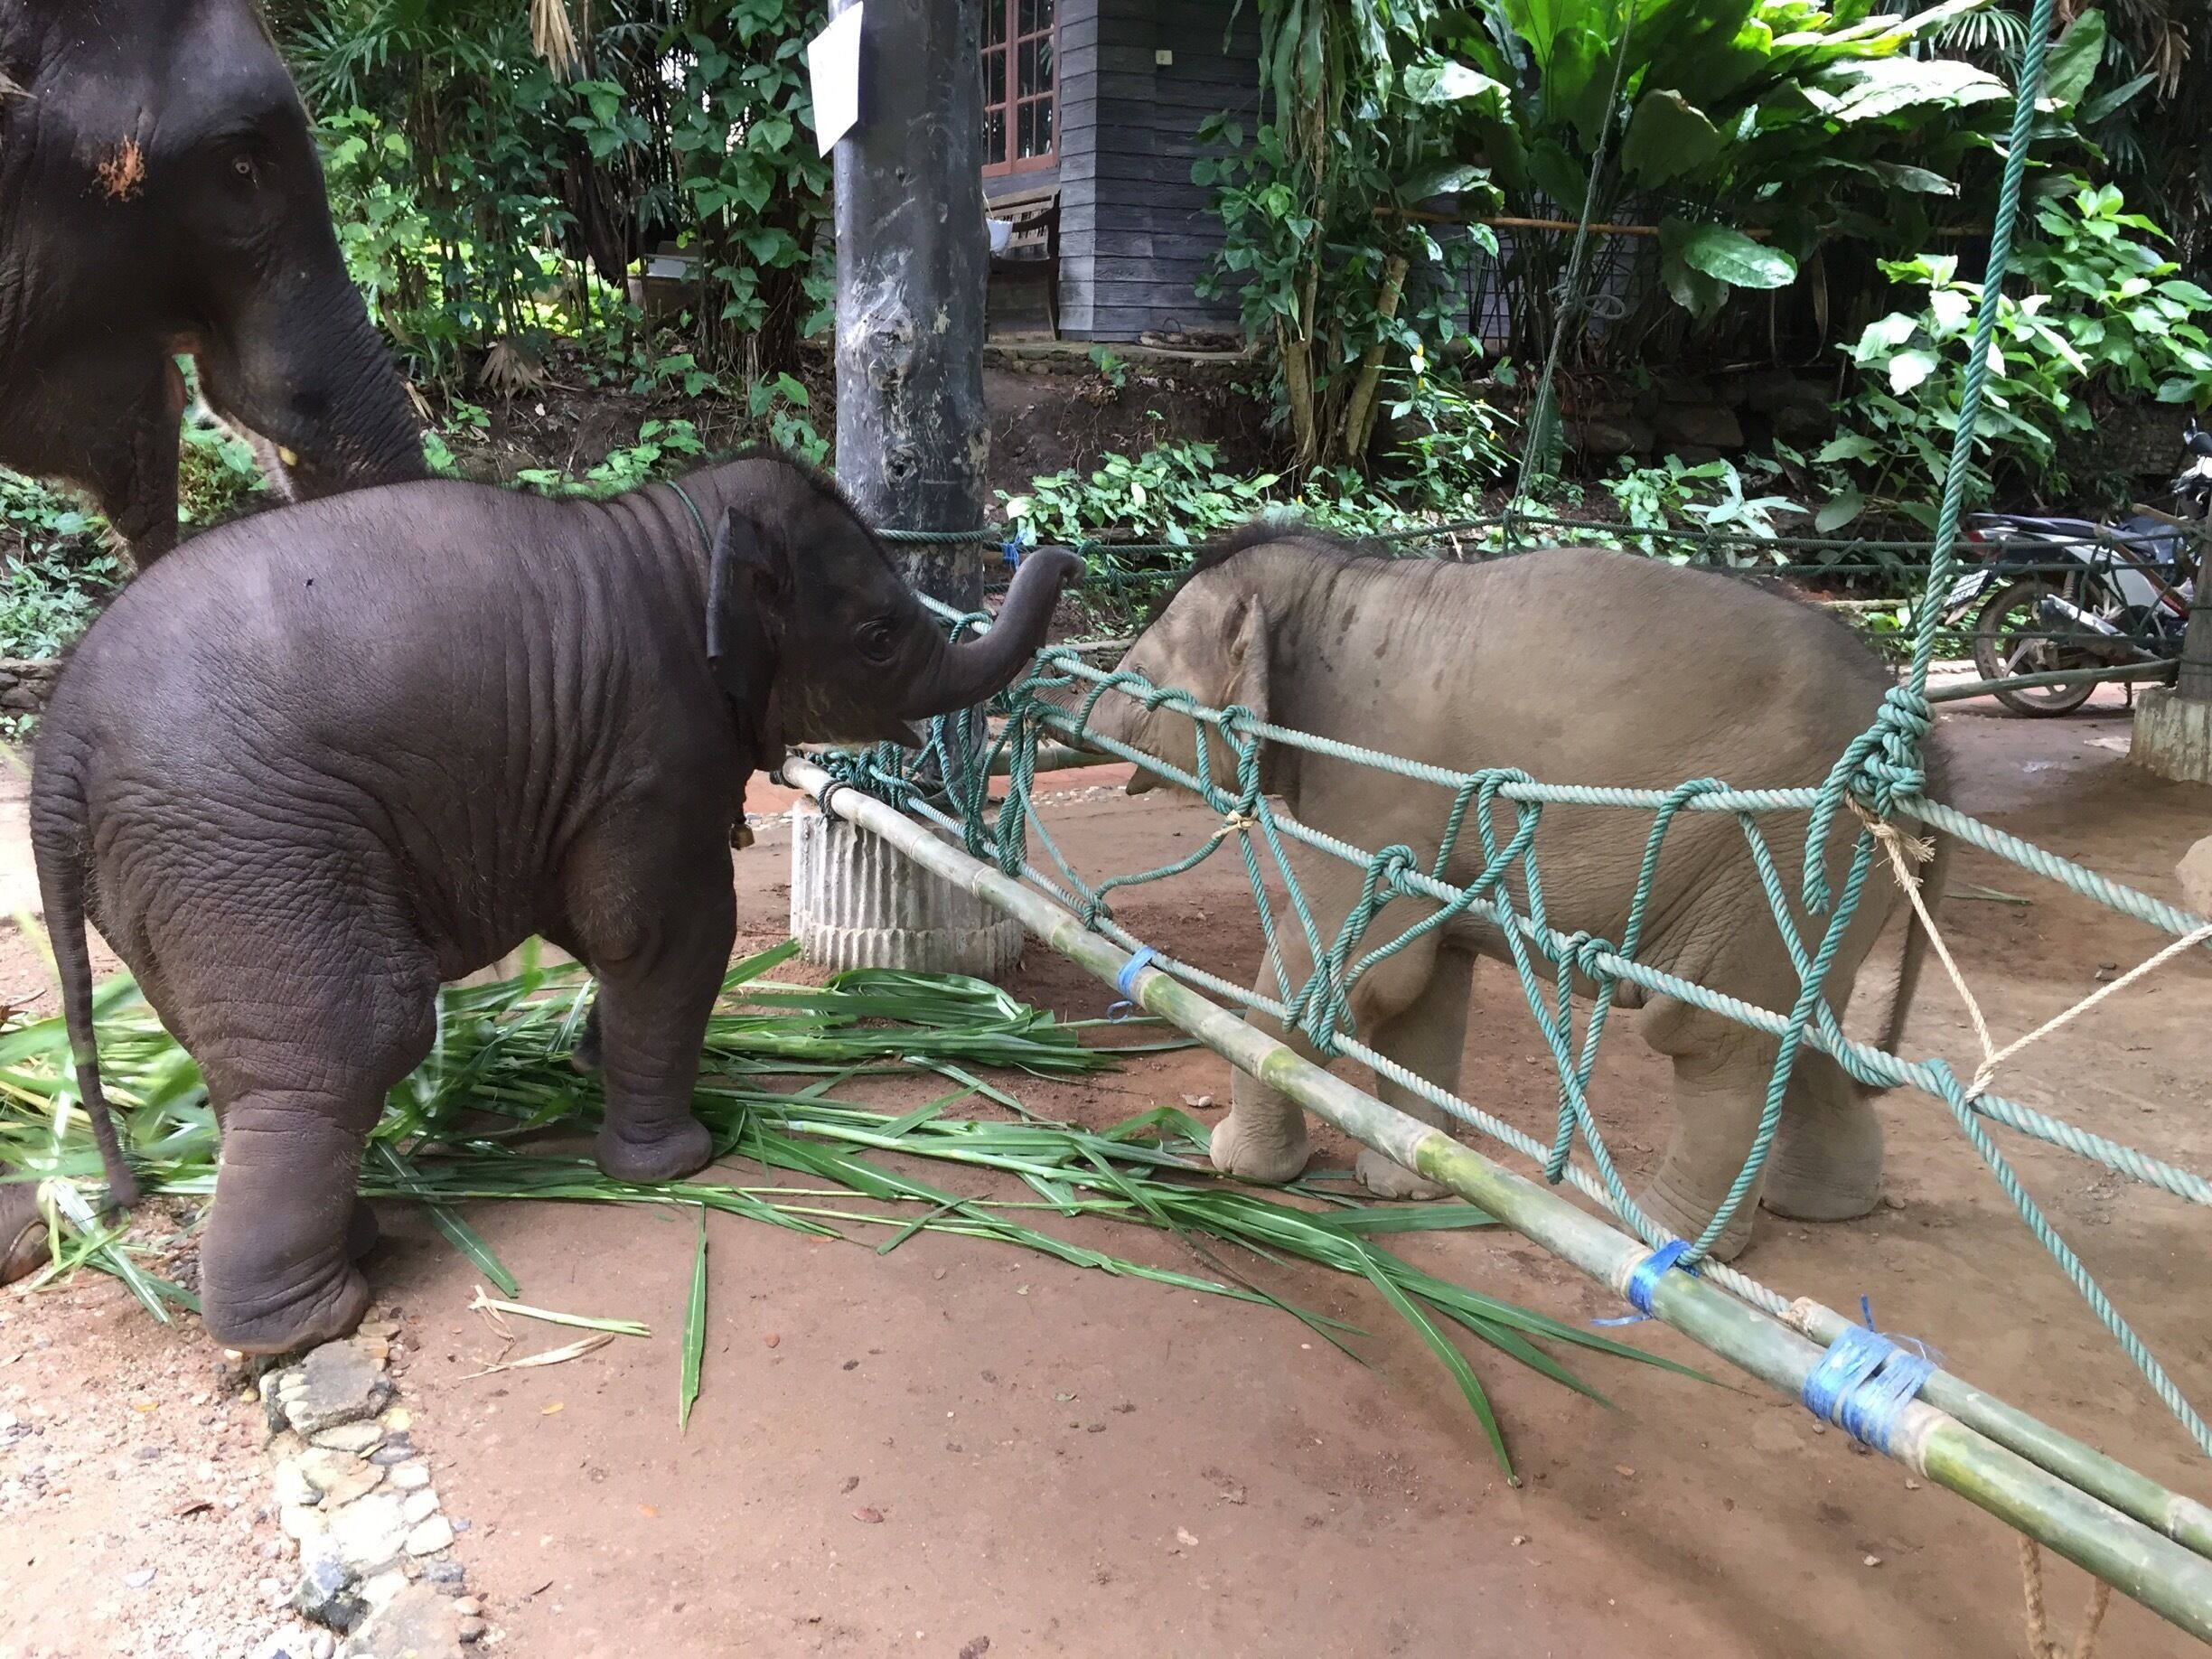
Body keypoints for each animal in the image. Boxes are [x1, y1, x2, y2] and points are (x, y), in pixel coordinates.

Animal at [25, 452, 1081, 1351]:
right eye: (879, 637)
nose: (1060, 551)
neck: (677, 529)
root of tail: (57, 747)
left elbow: (603, 930)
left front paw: (591, 1067)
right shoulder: (650, 749)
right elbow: (667, 934)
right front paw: (677, 1166)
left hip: (173, 886)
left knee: (255, 1064)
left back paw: (343, 1250)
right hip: (245, 844)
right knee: (352, 1042)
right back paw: (312, 1323)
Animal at [1059, 528, 1945, 1260]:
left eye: (1137, 678)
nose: (1068, 718)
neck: (1335, 580)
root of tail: (1927, 756)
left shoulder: (1382, 785)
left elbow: (1345, 969)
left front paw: (1235, 1167)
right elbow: (1423, 993)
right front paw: (1404, 1186)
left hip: (1780, 852)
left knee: (1713, 1037)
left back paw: (1665, 1244)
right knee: (1804, 1028)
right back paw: (1820, 1209)